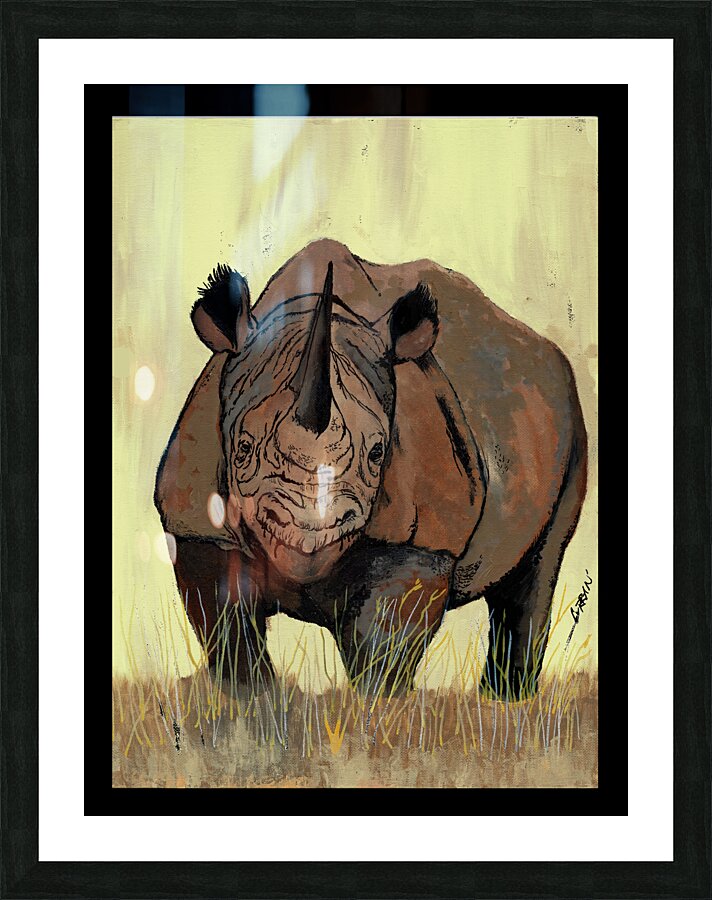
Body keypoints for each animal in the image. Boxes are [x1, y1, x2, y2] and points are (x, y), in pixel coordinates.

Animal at [155, 239, 587, 699]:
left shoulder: (421, 538)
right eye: (243, 448)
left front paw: (377, 705)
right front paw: (252, 699)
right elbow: (226, 623)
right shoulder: (198, 523)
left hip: (569, 416)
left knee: (539, 568)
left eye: (378, 453)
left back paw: (506, 700)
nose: (309, 532)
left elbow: (385, 639)